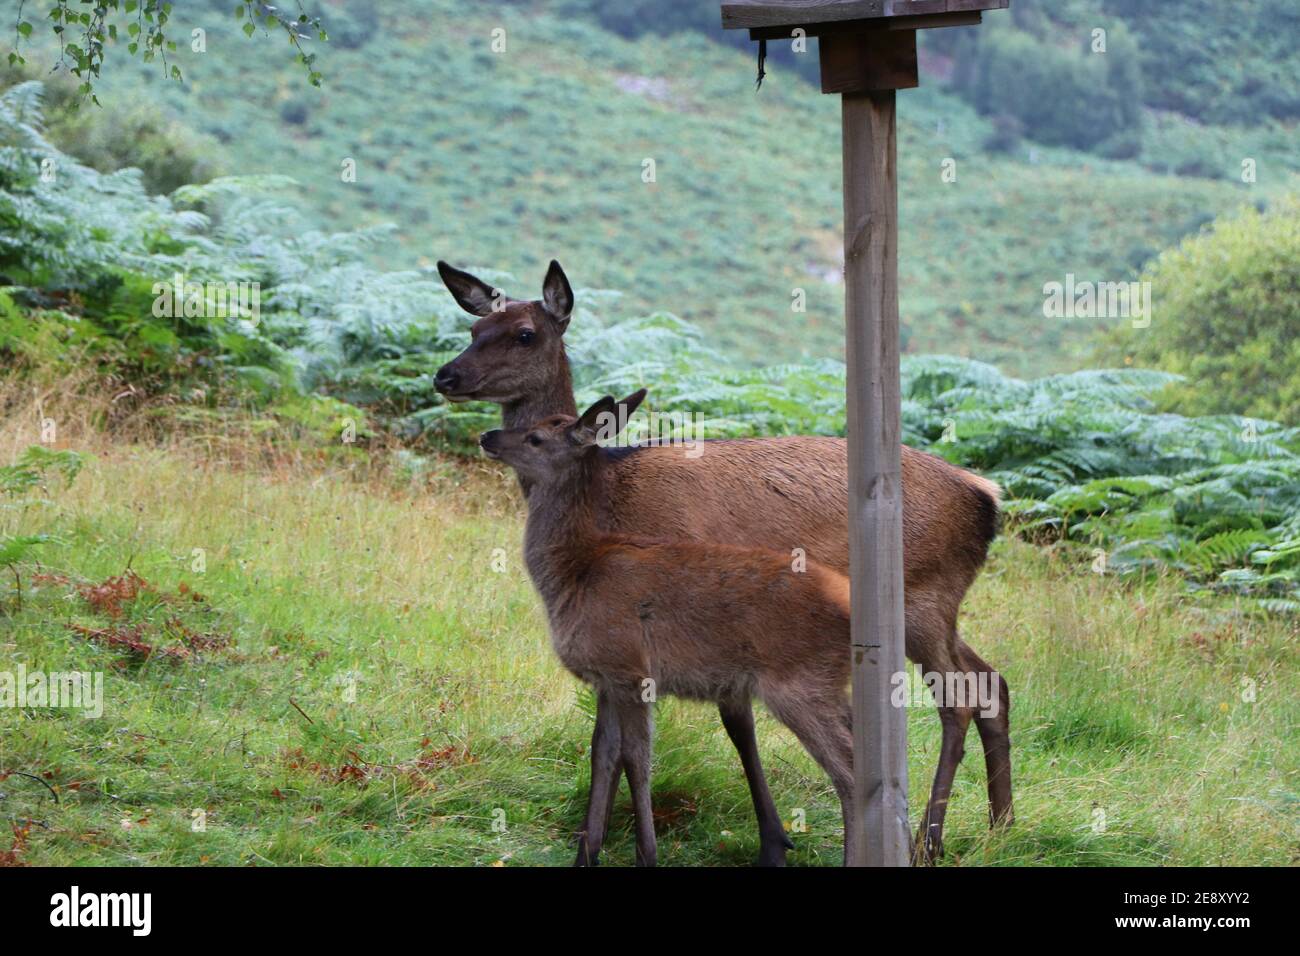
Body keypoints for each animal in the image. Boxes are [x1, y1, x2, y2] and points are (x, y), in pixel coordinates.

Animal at [480, 391, 864, 866]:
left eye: (535, 437)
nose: (487, 436)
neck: (574, 574)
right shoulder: (607, 678)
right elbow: (604, 754)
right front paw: (587, 854)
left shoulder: (629, 667)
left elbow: (637, 760)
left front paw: (647, 854)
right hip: (828, 684)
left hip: (798, 682)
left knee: (849, 771)